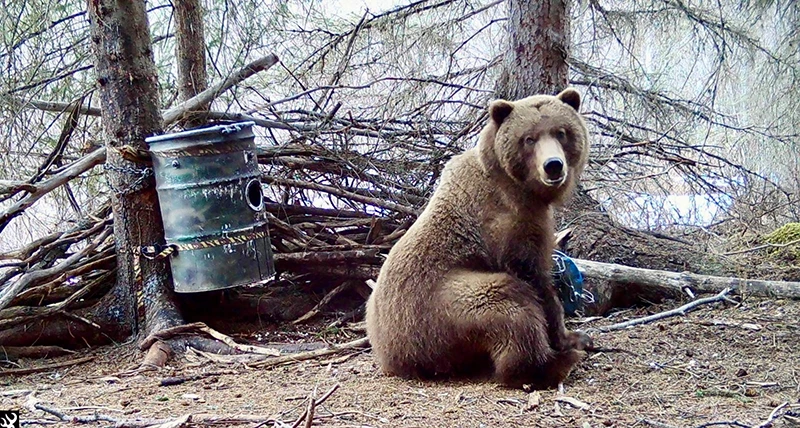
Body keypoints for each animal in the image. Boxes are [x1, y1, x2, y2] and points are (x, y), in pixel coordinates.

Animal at [365, 88, 592, 390]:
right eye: (528, 138)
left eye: (561, 132)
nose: (553, 166)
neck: (520, 188)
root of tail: (390, 354)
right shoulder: (510, 223)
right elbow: (534, 277)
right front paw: (568, 340)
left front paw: (579, 337)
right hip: (439, 310)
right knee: (508, 303)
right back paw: (551, 366)